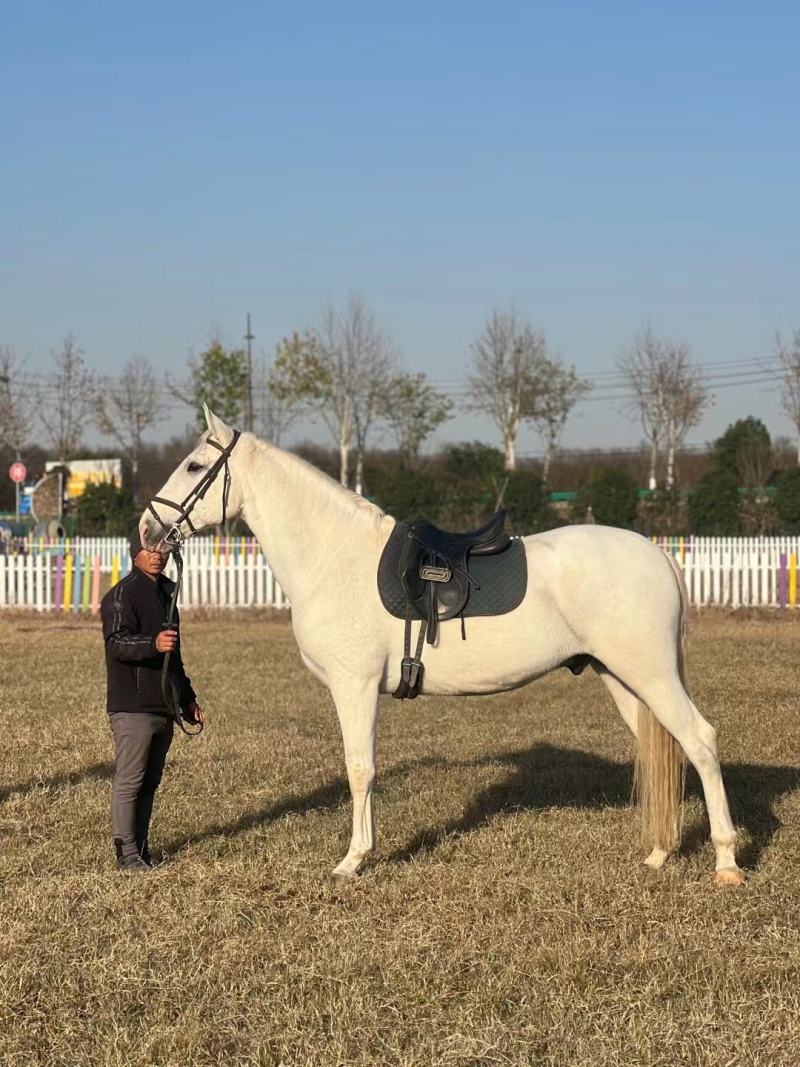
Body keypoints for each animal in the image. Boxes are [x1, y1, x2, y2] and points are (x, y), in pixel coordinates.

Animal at [140, 406, 743, 886]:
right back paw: (660, 854)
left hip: (651, 675)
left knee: (700, 741)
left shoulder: (355, 687)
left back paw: (727, 863)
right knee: (664, 751)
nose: (147, 530)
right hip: (621, 677)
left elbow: (360, 768)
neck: (335, 556)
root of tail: (659, 555)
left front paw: (353, 861)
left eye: (194, 466)